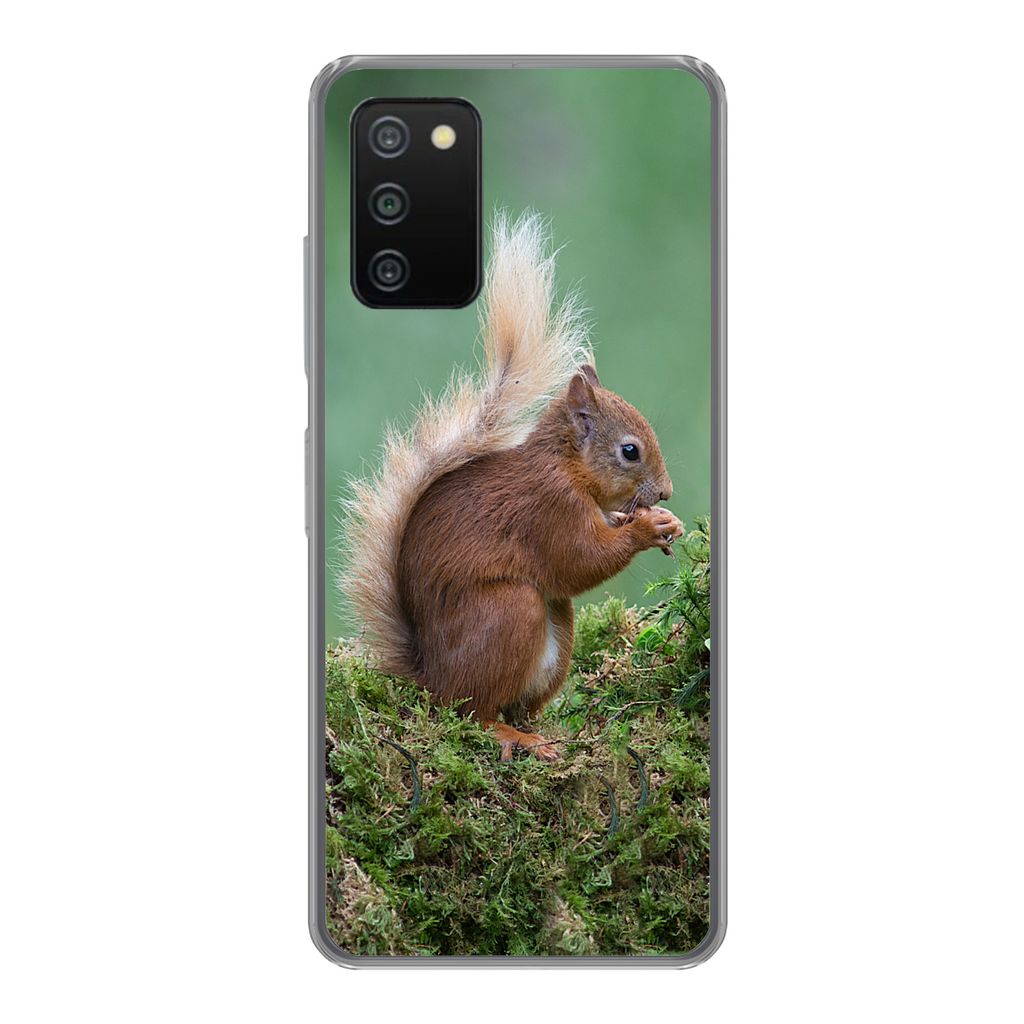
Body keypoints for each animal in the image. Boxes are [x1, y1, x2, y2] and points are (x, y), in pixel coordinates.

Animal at [341, 213, 682, 761]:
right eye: (630, 451)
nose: (666, 492)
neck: (565, 466)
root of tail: (430, 679)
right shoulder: (548, 507)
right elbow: (579, 560)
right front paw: (646, 528)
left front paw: (657, 520)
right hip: (508, 612)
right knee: (473, 713)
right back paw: (513, 737)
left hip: (556, 634)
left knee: (515, 702)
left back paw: (540, 731)